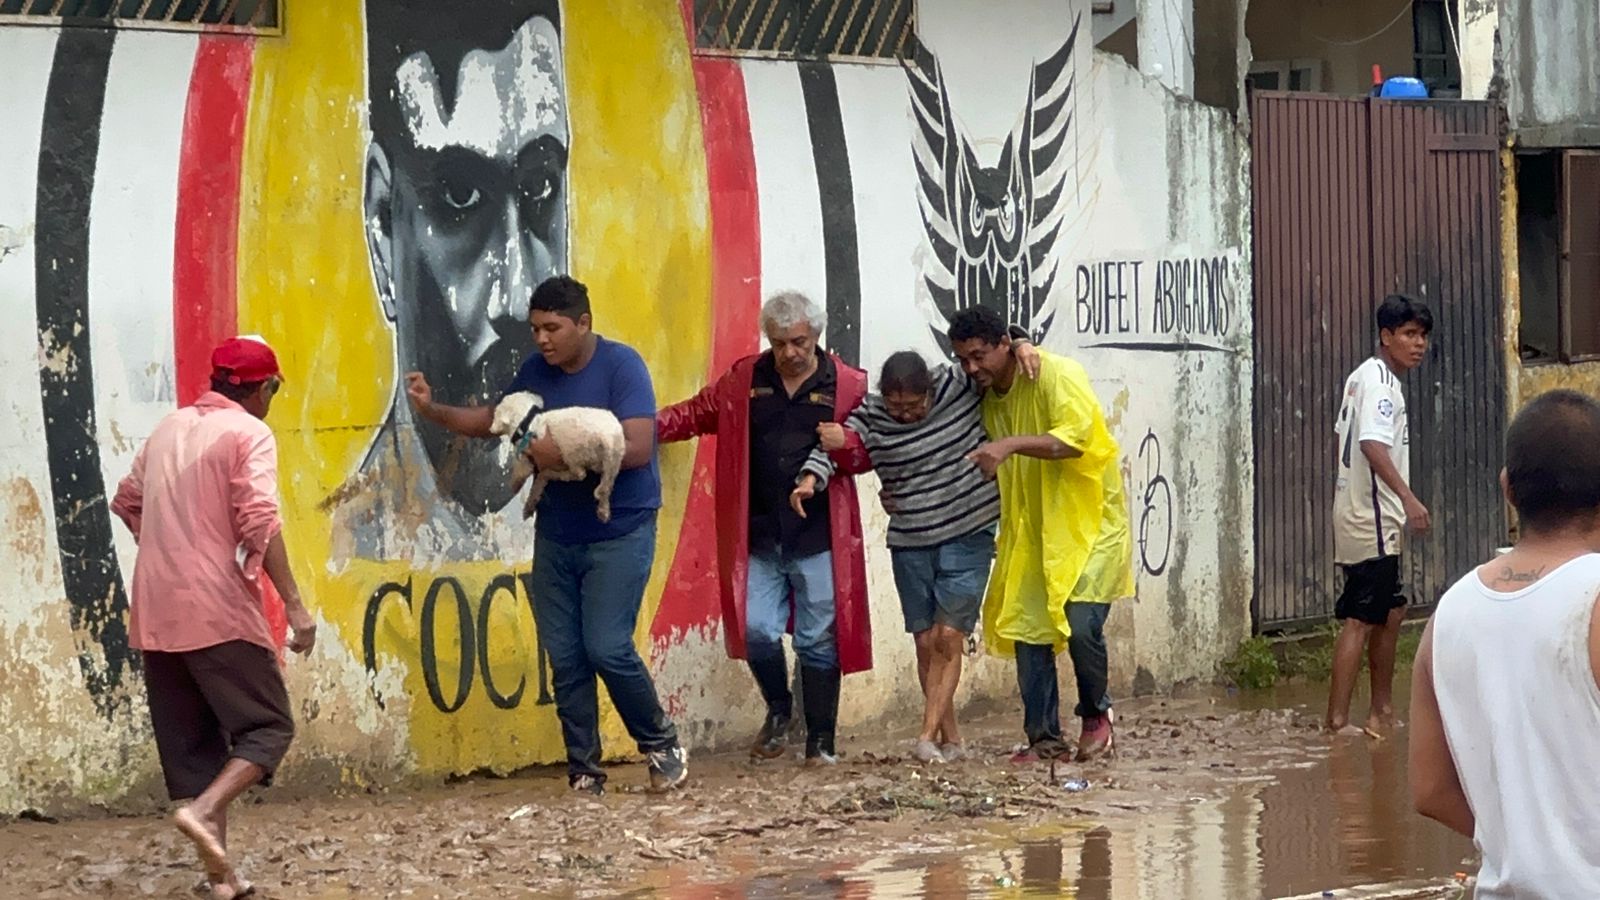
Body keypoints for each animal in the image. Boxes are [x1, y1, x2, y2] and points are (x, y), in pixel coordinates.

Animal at [489, 390, 627, 522]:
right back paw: (603, 510)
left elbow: (520, 470)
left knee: (579, 474)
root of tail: (607, 438)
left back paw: (548, 474)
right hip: (614, 459)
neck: (528, 422)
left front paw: (514, 484)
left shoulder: (525, 456)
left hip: (571, 451)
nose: (491, 429)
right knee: (606, 486)